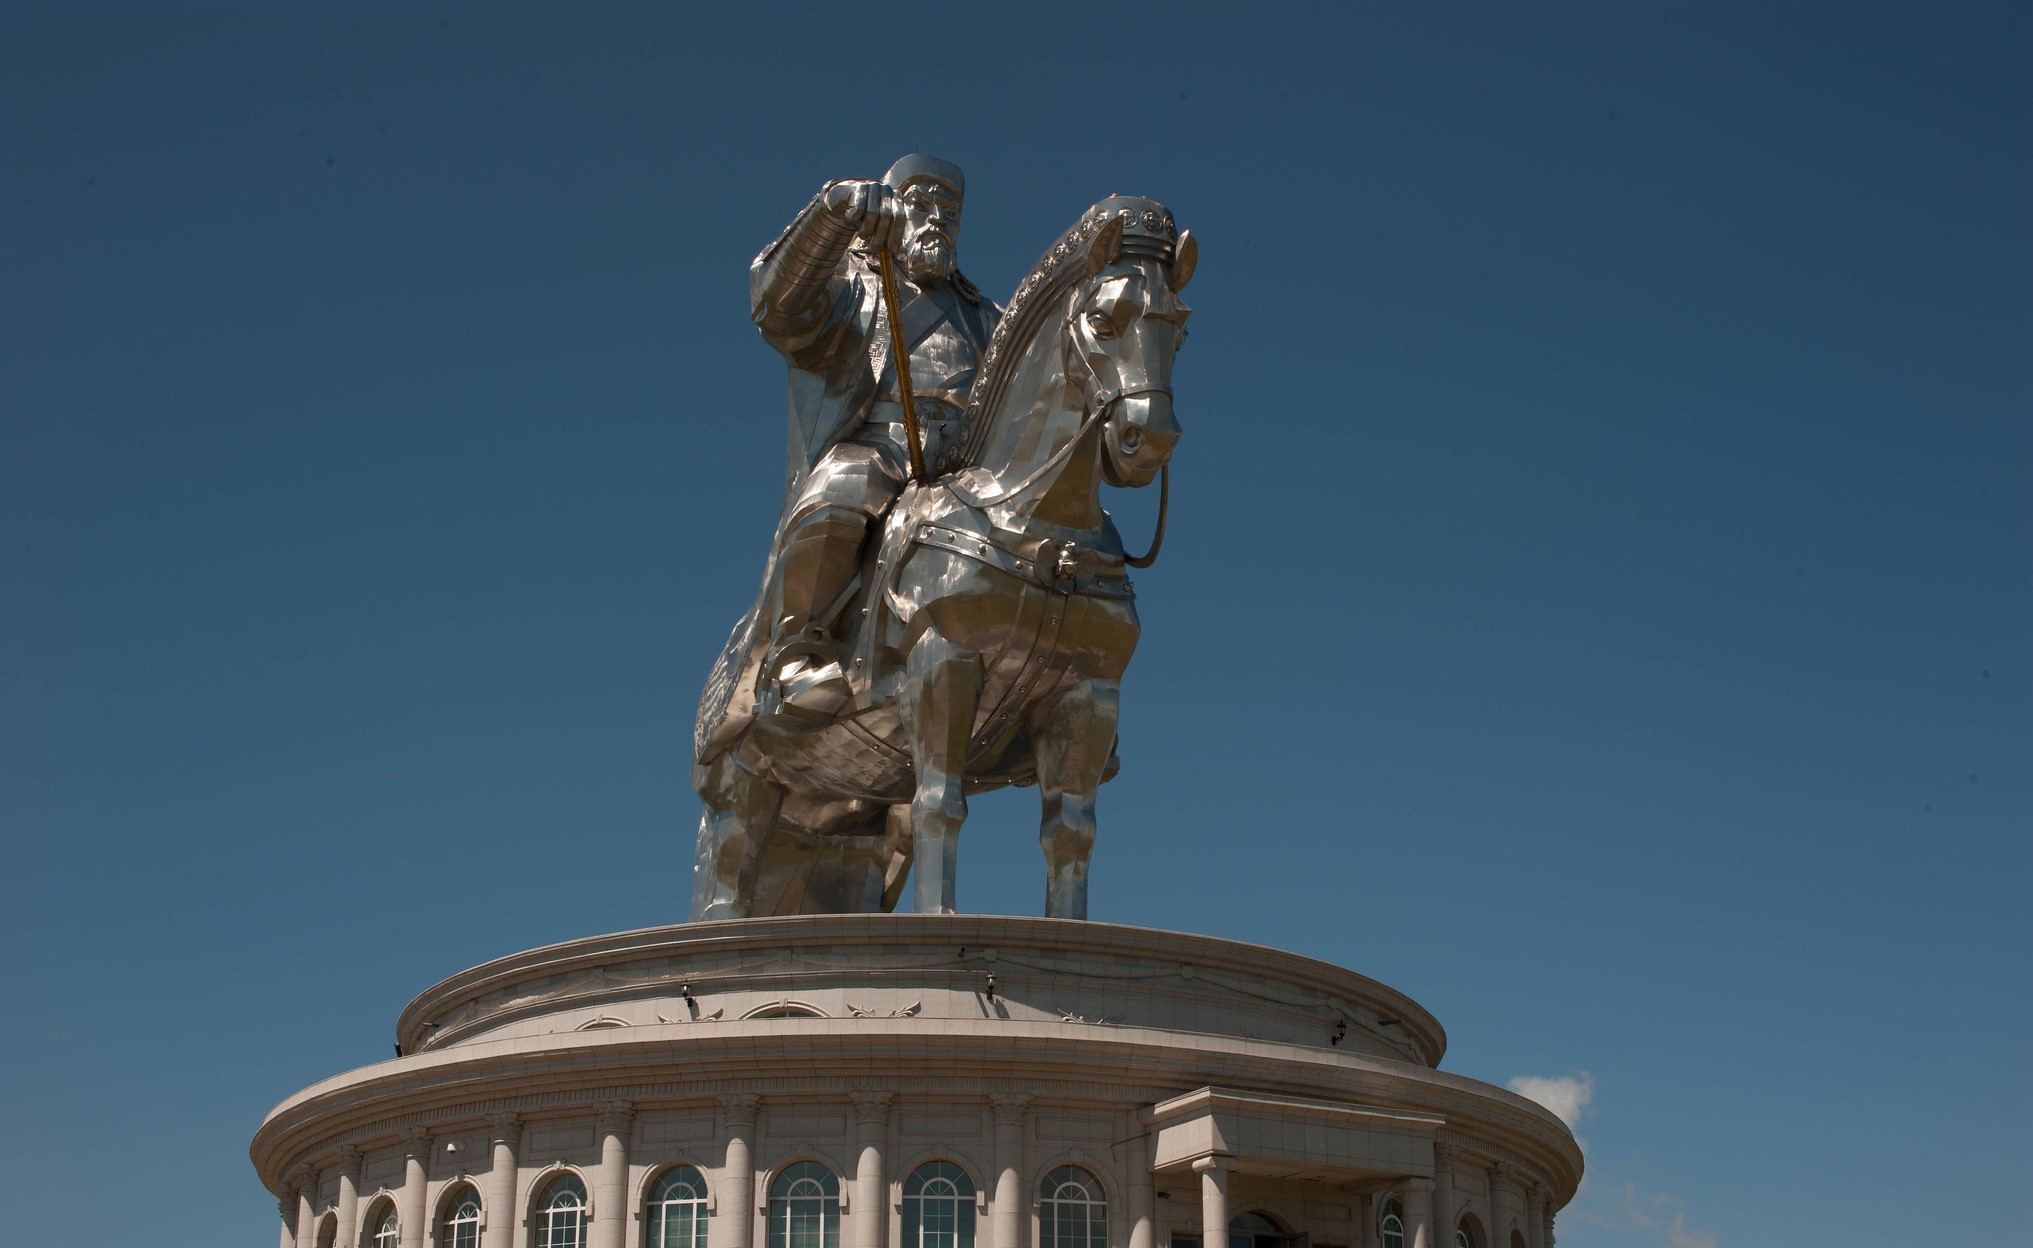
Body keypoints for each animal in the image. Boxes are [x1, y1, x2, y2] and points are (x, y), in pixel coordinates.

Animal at [691, 195, 1187, 918]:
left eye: (1178, 329)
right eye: (1102, 320)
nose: (1147, 439)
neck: (1038, 529)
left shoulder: (1088, 692)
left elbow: (1069, 831)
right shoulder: (943, 659)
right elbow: (940, 803)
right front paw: (941, 917)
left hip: (851, 821)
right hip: (740, 784)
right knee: (725, 895)